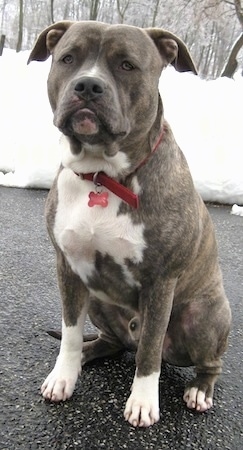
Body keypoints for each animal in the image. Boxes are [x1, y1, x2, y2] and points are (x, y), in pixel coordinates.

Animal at [27, 21, 231, 428]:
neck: (103, 176)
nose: (88, 86)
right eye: (68, 58)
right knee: (112, 342)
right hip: (98, 299)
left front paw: (143, 402)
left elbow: (149, 350)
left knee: (204, 362)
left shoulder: (160, 282)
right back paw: (88, 352)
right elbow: (69, 333)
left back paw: (200, 391)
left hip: (204, 316)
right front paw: (63, 375)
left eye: (127, 65)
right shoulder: (68, 268)